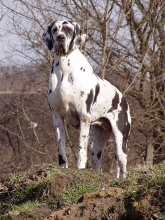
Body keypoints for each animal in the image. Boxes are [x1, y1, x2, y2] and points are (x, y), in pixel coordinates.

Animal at [42, 19, 131, 178]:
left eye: (68, 29)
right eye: (55, 29)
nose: (60, 37)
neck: (65, 68)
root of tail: (123, 99)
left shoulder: (83, 117)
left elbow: (80, 149)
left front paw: (80, 168)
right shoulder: (57, 117)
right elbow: (61, 148)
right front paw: (63, 167)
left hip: (120, 142)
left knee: (123, 166)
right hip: (96, 146)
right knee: (97, 162)